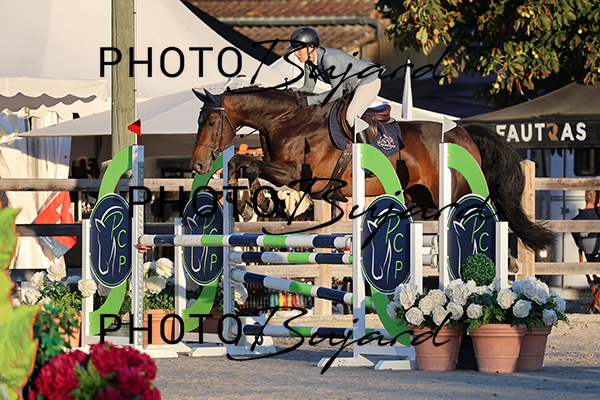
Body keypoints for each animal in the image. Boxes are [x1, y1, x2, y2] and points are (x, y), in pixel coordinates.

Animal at [190, 86, 554, 253]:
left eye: (211, 121)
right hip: (422, 198)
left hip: (451, 196)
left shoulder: (300, 175)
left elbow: (248, 164)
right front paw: (246, 204)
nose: (198, 165)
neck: (286, 121)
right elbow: (241, 164)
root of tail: (464, 133)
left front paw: (249, 205)